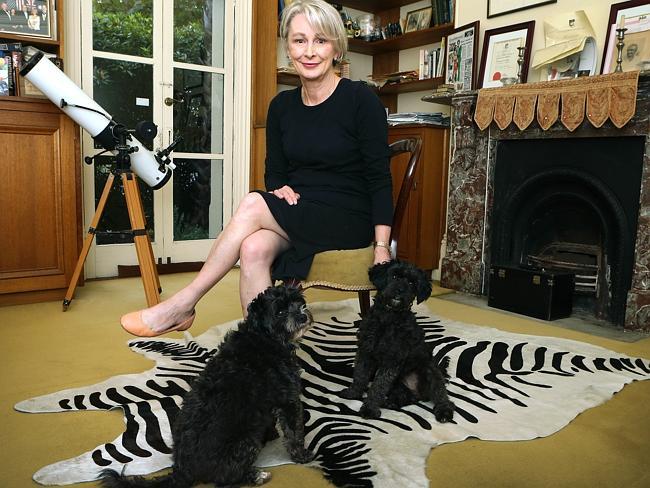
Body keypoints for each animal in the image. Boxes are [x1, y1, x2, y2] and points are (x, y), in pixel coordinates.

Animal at [98, 284, 314, 488]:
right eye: (280, 311)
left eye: (298, 302)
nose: (303, 315)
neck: (263, 337)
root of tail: (182, 470)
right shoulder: (288, 398)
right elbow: (295, 433)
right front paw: (302, 456)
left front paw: (271, 434)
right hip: (245, 440)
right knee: (225, 478)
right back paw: (255, 476)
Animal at [340, 260, 456, 424]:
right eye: (394, 276)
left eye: (412, 282)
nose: (400, 290)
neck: (388, 317)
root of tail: (416, 391)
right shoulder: (365, 351)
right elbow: (360, 375)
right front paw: (353, 393)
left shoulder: (392, 360)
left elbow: (378, 385)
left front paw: (369, 409)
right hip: (397, 385)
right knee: (407, 398)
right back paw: (391, 402)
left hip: (430, 372)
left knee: (441, 395)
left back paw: (444, 411)